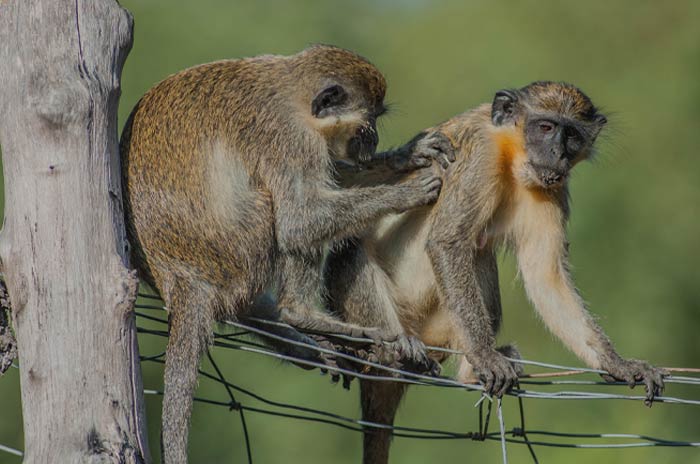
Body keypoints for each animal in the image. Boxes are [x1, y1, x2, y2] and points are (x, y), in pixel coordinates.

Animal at [120, 45, 449, 463]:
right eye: (367, 122)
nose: (373, 140)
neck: (293, 94)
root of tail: (179, 276)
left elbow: (330, 180)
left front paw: (408, 155)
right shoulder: (290, 139)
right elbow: (298, 220)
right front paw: (403, 193)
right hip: (237, 247)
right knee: (278, 213)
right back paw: (301, 314)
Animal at [324, 81, 667, 464]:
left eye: (572, 135)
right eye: (545, 127)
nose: (557, 154)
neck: (511, 151)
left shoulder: (552, 187)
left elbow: (545, 277)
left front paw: (616, 363)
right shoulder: (479, 157)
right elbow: (448, 241)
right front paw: (485, 355)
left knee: (481, 251)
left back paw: (468, 372)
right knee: (353, 248)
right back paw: (399, 354)